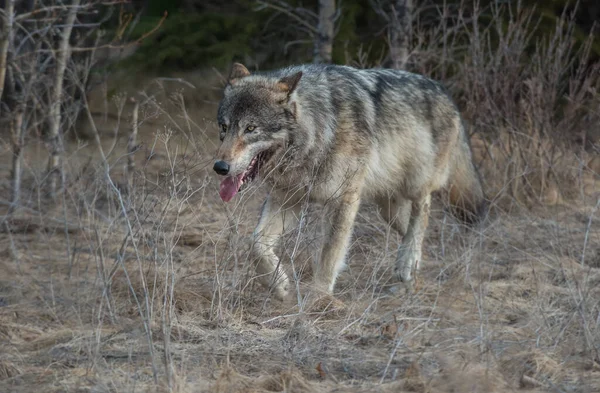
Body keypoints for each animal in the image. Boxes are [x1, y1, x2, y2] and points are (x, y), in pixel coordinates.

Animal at [213, 62, 486, 298]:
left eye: (251, 129)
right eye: (224, 128)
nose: (220, 167)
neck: (320, 132)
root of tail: (446, 93)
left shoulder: (343, 200)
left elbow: (329, 254)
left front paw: (319, 299)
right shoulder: (287, 197)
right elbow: (255, 244)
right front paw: (278, 285)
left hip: (416, 184)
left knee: (424, 212)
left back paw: (407, 263)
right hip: (388, 208)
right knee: (414, 230)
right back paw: (409, 279)